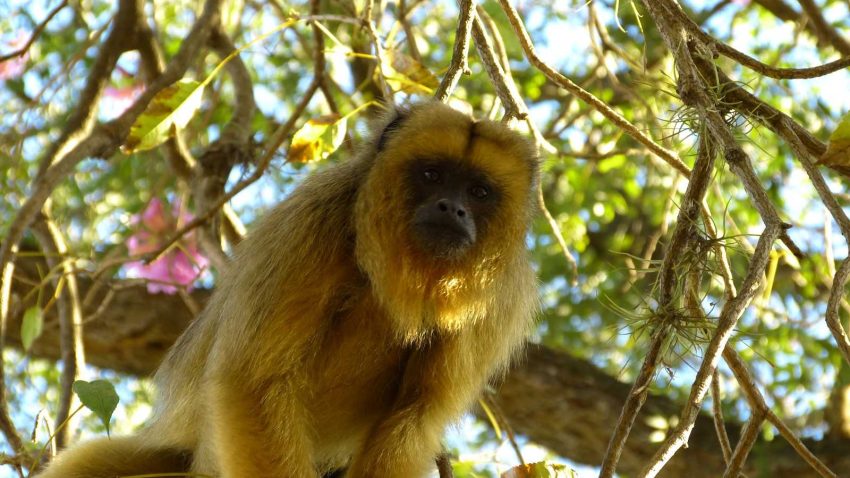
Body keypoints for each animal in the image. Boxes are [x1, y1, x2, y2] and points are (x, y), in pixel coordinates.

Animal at [38, 101, 536, 478]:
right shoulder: (311, 223)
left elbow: (413, 416)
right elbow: (253, 382)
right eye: (432, 175)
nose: (452, 208)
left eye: (479, 191)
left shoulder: (496, 302)